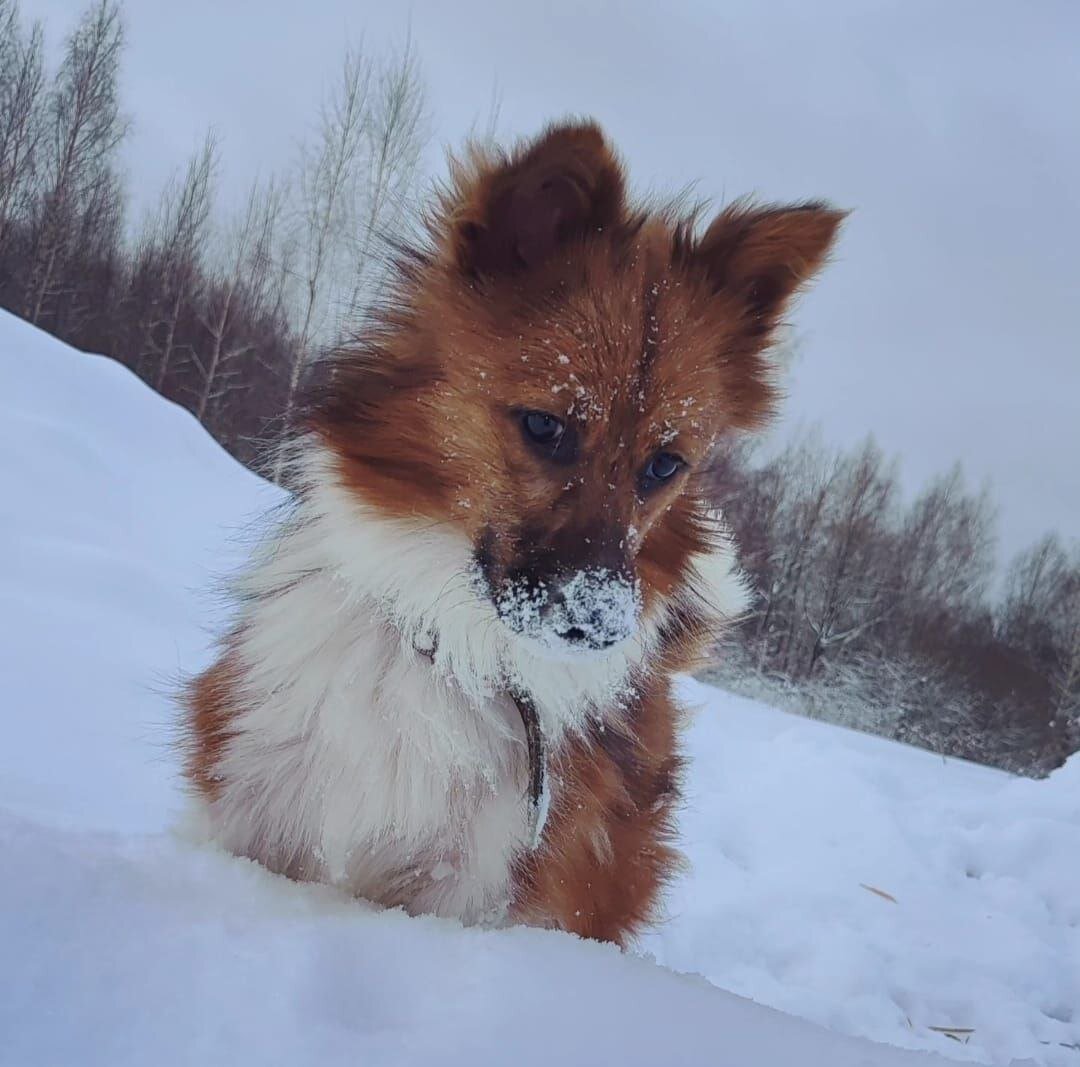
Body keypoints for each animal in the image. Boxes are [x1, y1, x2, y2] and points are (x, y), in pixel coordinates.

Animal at [183, 120, 842, 946]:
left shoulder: (475, 887)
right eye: (544, 426)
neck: (455, 645)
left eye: (664, 464)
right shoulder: (254, 803)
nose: (600, 624)